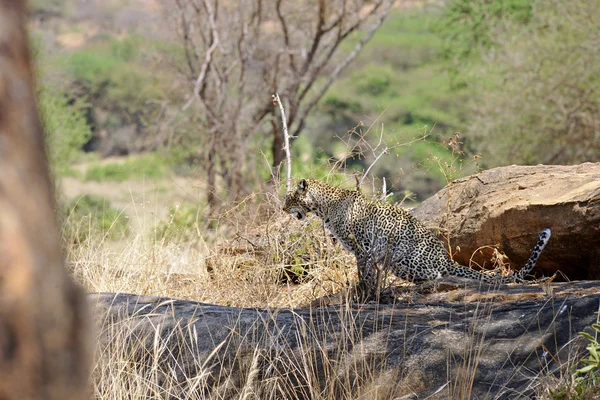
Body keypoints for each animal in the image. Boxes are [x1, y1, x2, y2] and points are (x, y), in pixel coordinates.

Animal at [284, 178, 552, 296]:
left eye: (290, 198)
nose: (283, 209)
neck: (324, 207)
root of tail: (444, 258)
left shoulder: (363, 248)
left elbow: (364, 273)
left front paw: (364, 293)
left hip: (405, 258)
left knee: (436, 276)